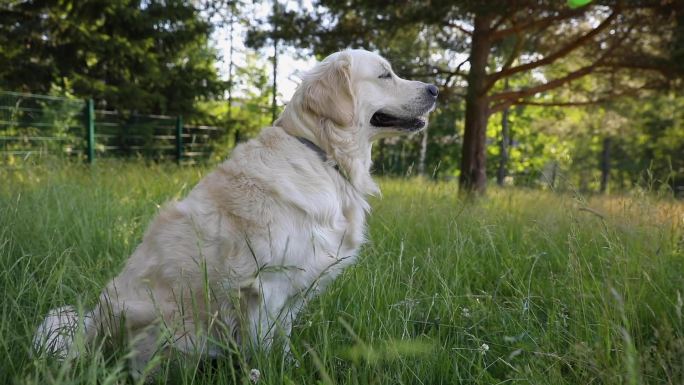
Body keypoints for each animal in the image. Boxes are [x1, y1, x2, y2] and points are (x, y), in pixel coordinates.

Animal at [33, 48, 438, 376]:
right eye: (385, 75)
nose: (435, 89)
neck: (322, 154)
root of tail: (89, 334)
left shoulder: (293, 287)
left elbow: (283, 339)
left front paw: (290, 367)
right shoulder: (266, 283)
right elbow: (264, 345)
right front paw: (269, 373)